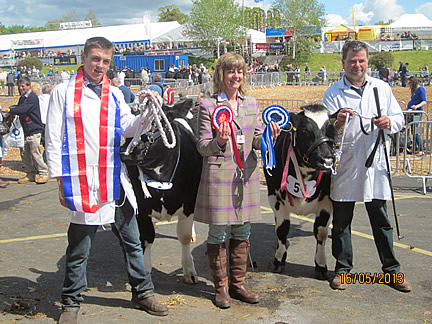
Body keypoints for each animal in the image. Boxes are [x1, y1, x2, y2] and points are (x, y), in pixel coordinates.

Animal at [120, 98, 202, 284]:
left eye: (157, 122)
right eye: (131, 124)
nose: (125, 152)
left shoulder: (189, 202)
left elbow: (184, 235)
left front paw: (189, 271)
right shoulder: (141, 207)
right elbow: (146, 238)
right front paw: (145, 271)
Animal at [264, 104, 338, 278]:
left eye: (331, 130)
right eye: (304, 130)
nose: (327, 160)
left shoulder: (327, 201)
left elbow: (321, 232)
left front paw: (321, 265)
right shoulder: (275, 198)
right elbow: (282, 229)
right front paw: (279, 260)